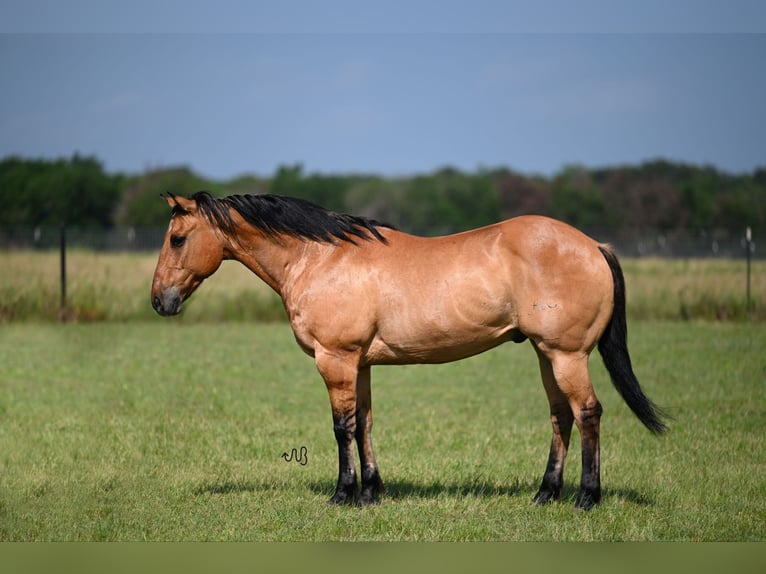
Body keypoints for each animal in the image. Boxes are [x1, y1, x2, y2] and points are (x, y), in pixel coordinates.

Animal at [152, 191, 664, 510]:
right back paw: (545, 494)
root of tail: (593, 245)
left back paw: (586, 497)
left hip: (566, 354)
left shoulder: (335, 359)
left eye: (177, 238)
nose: (160, 301)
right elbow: (364, 424)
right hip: (545, 354)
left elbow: (341, 428)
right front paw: (370, 492)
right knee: (561, 416)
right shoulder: (358, 363)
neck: (320, 258)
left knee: (588, 413)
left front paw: (343, 494)